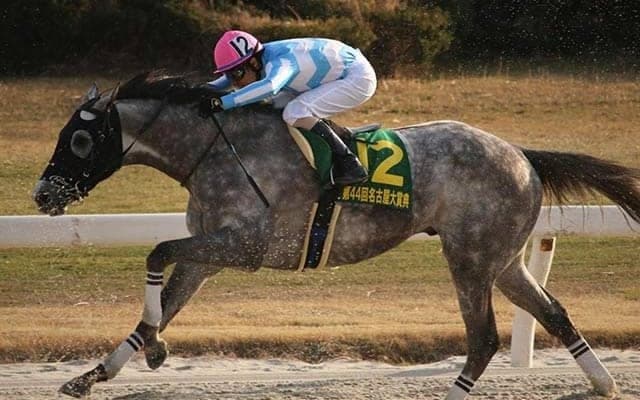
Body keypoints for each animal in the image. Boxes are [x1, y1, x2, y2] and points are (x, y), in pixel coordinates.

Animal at [33, 71, 640, 399]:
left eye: (80, 141)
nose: (41, 195)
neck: (213, 150)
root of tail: (521, 154)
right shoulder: (211, 254)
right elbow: (157, 305)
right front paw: (96, 374)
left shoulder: (247, 246)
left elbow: (156, 252)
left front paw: (156, 350)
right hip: (502, 259)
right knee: (553, 312)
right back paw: (604, 383)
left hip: (468, 256)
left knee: (485, 337)